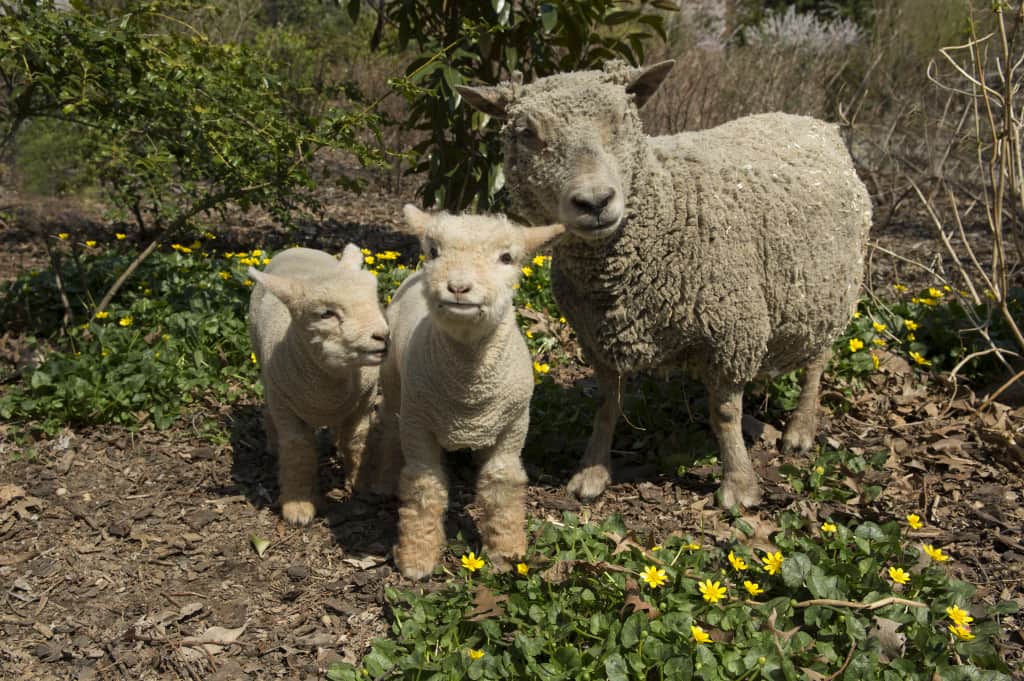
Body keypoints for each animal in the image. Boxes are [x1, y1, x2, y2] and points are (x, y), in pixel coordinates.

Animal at [247, 245, 391, 524]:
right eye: (326, 314)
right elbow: (298, 450)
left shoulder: (364, 401)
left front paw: (360, 482)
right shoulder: (285, 408)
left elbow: (355, 440)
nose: (383, 336)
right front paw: (298, 505)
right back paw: (273, 445)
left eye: (374, 298)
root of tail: (297, 247)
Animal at [380, 202, 565, 577]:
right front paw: (417, 557)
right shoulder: (419, 424)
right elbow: (424, 488)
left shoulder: (513, 426)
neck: (468, 393)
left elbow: (501, 482)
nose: (458, 287)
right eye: (434, 251)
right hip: (395, 382)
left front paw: (507, 553)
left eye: (507, 257)